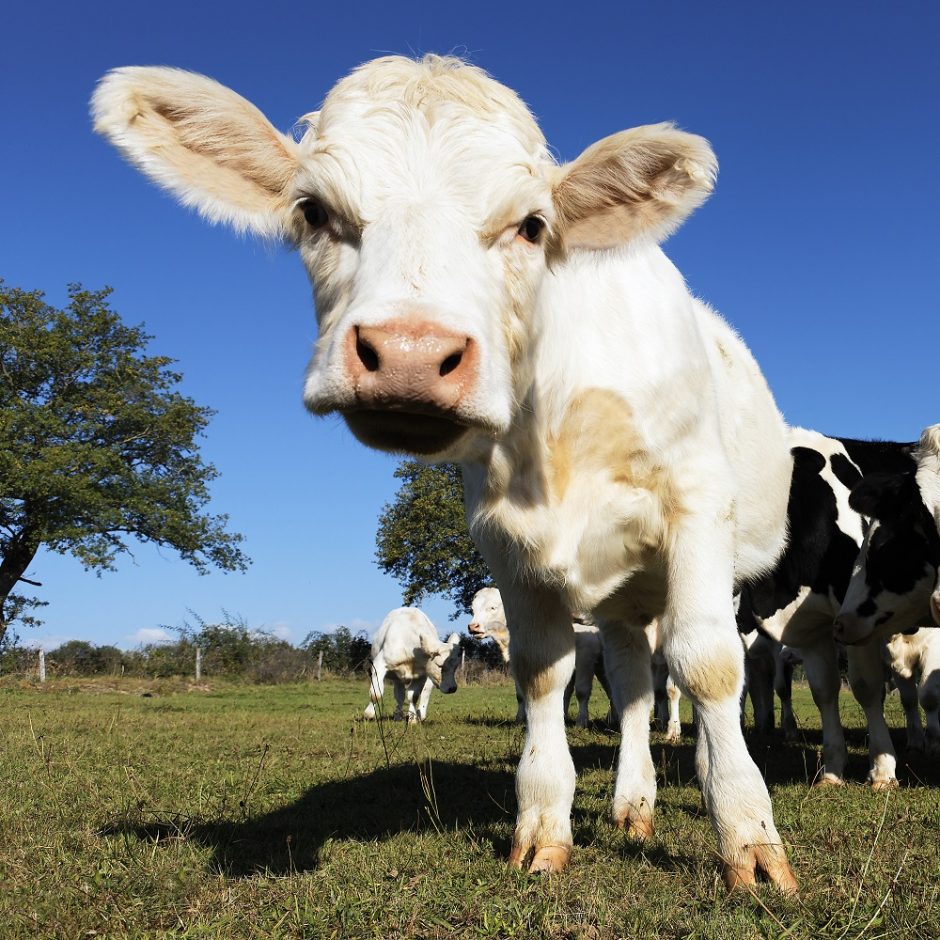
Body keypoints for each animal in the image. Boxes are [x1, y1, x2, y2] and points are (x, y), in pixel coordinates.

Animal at [95, 55, 796, 892]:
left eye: (532, 225)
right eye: (313, 211)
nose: (408, 354)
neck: (553, 428)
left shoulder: (695, 504)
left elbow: (710, 665)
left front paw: (749, 838)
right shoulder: (505, 541)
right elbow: (541, 675)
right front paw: (543, 829)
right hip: (621, 599)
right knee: (629, 684)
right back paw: (632, 804)